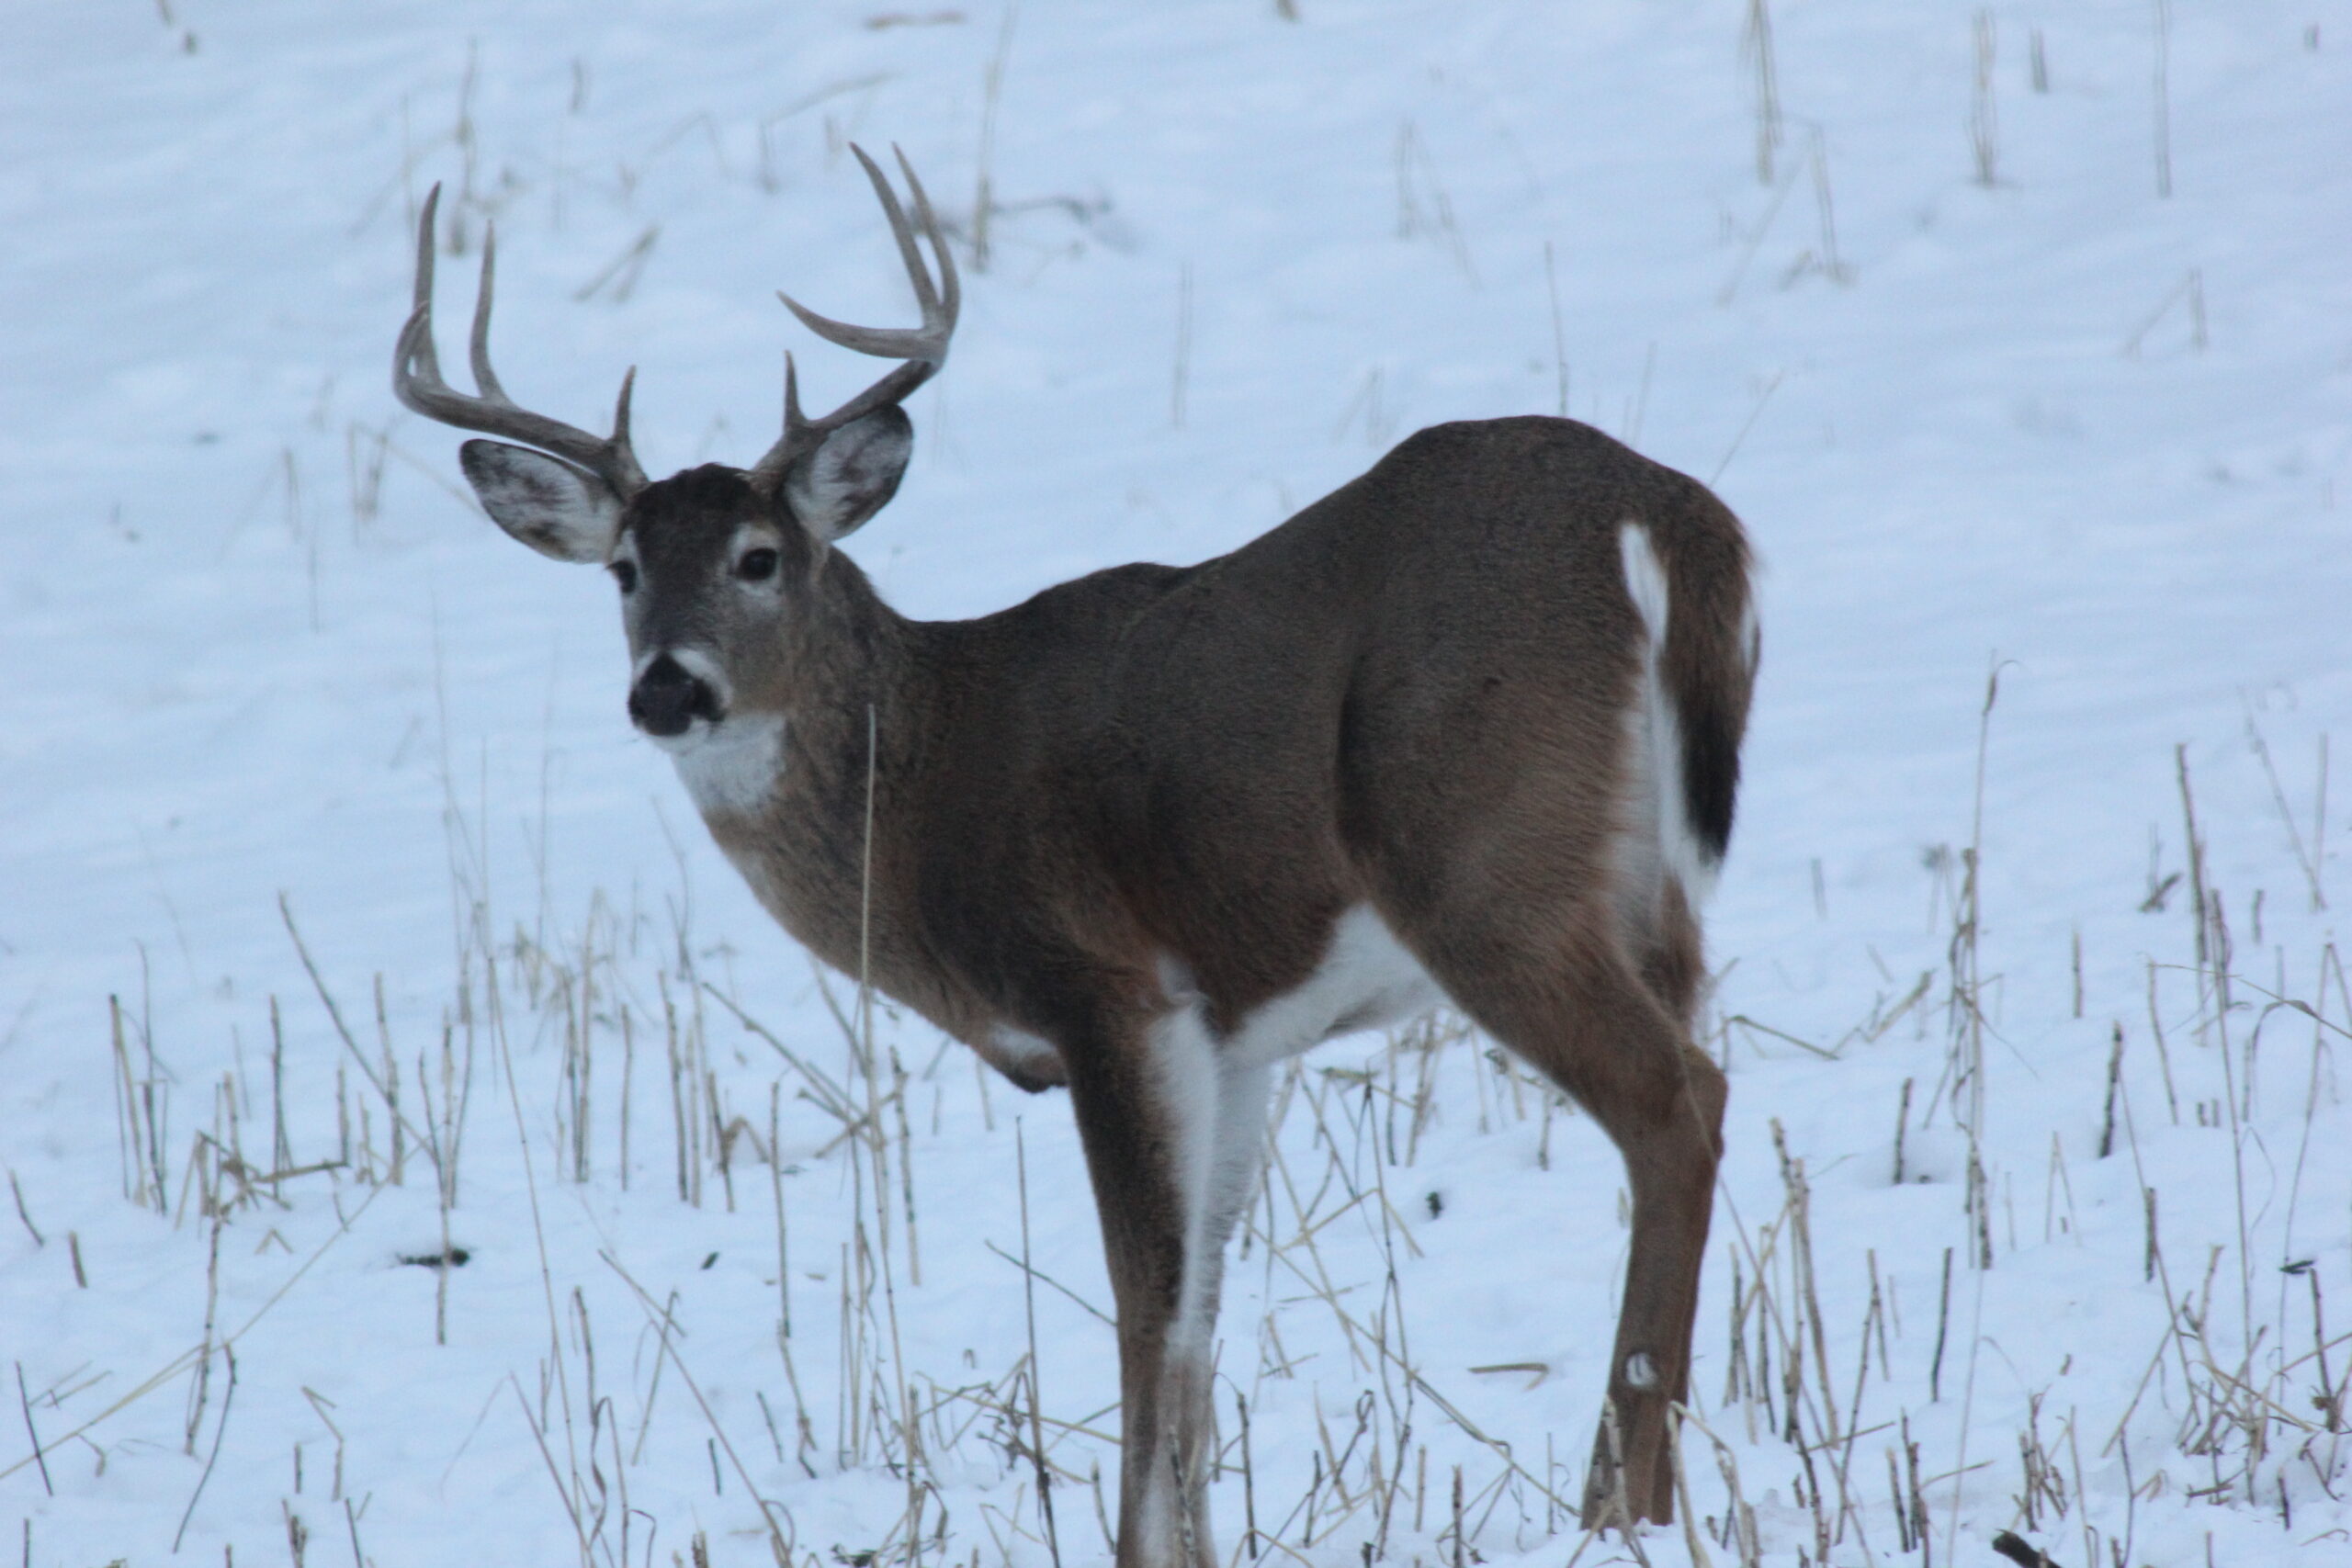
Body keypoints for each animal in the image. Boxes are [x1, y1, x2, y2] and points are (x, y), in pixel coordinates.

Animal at [395, 146, 1749, 1568]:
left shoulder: (1104, 989)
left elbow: (1143, 1306)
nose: (667, 687)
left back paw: (1618, 1506)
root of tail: (1659, 513)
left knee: (1675, 1103)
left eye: (759, 558)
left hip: (1481, 862)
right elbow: (1199, 1320)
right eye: (621, 568)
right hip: (1650, 888)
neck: (922, 789)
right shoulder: (1236, 1040)